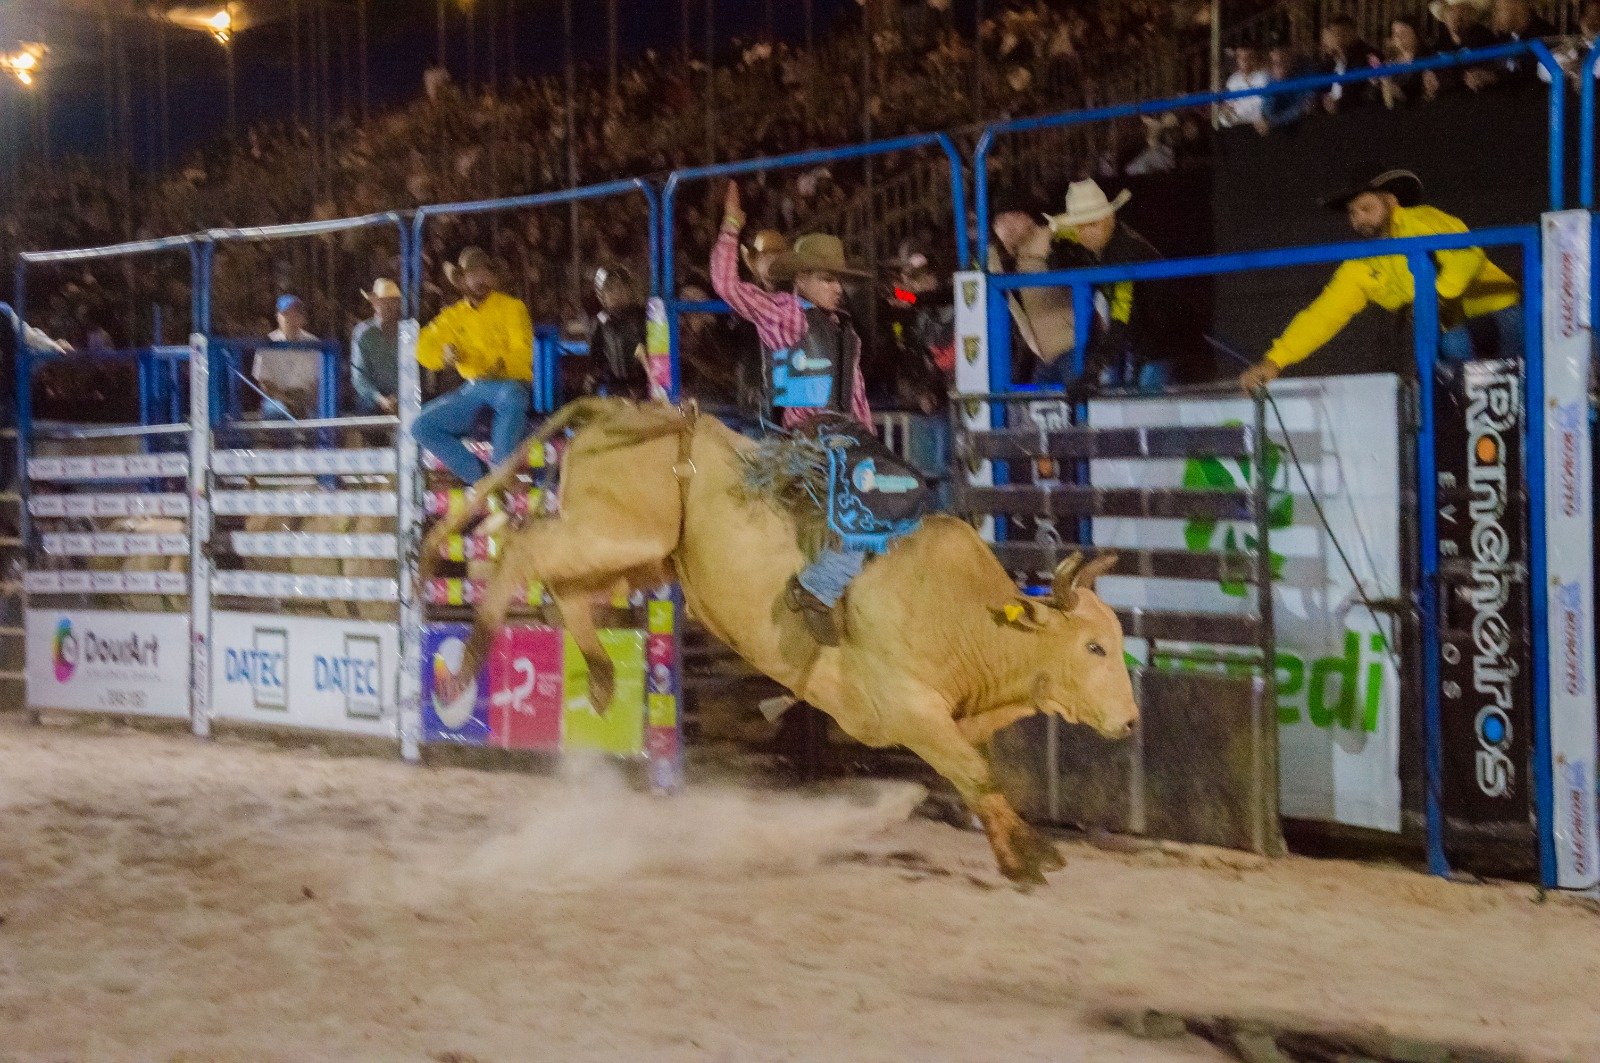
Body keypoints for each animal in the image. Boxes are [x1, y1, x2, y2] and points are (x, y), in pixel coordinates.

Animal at [425, 397, 1139, 877]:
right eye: (1093, 647)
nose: (1131, 721)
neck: (965, 616)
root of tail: (627, 408)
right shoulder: (908, 709)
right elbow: (974, 772)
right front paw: (1033, 855)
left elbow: (974, 778)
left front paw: (1011, 852)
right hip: (612, 536)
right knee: (524, 547)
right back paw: (462, 673)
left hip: (637, 555)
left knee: (566, 592)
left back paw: (600, 680)